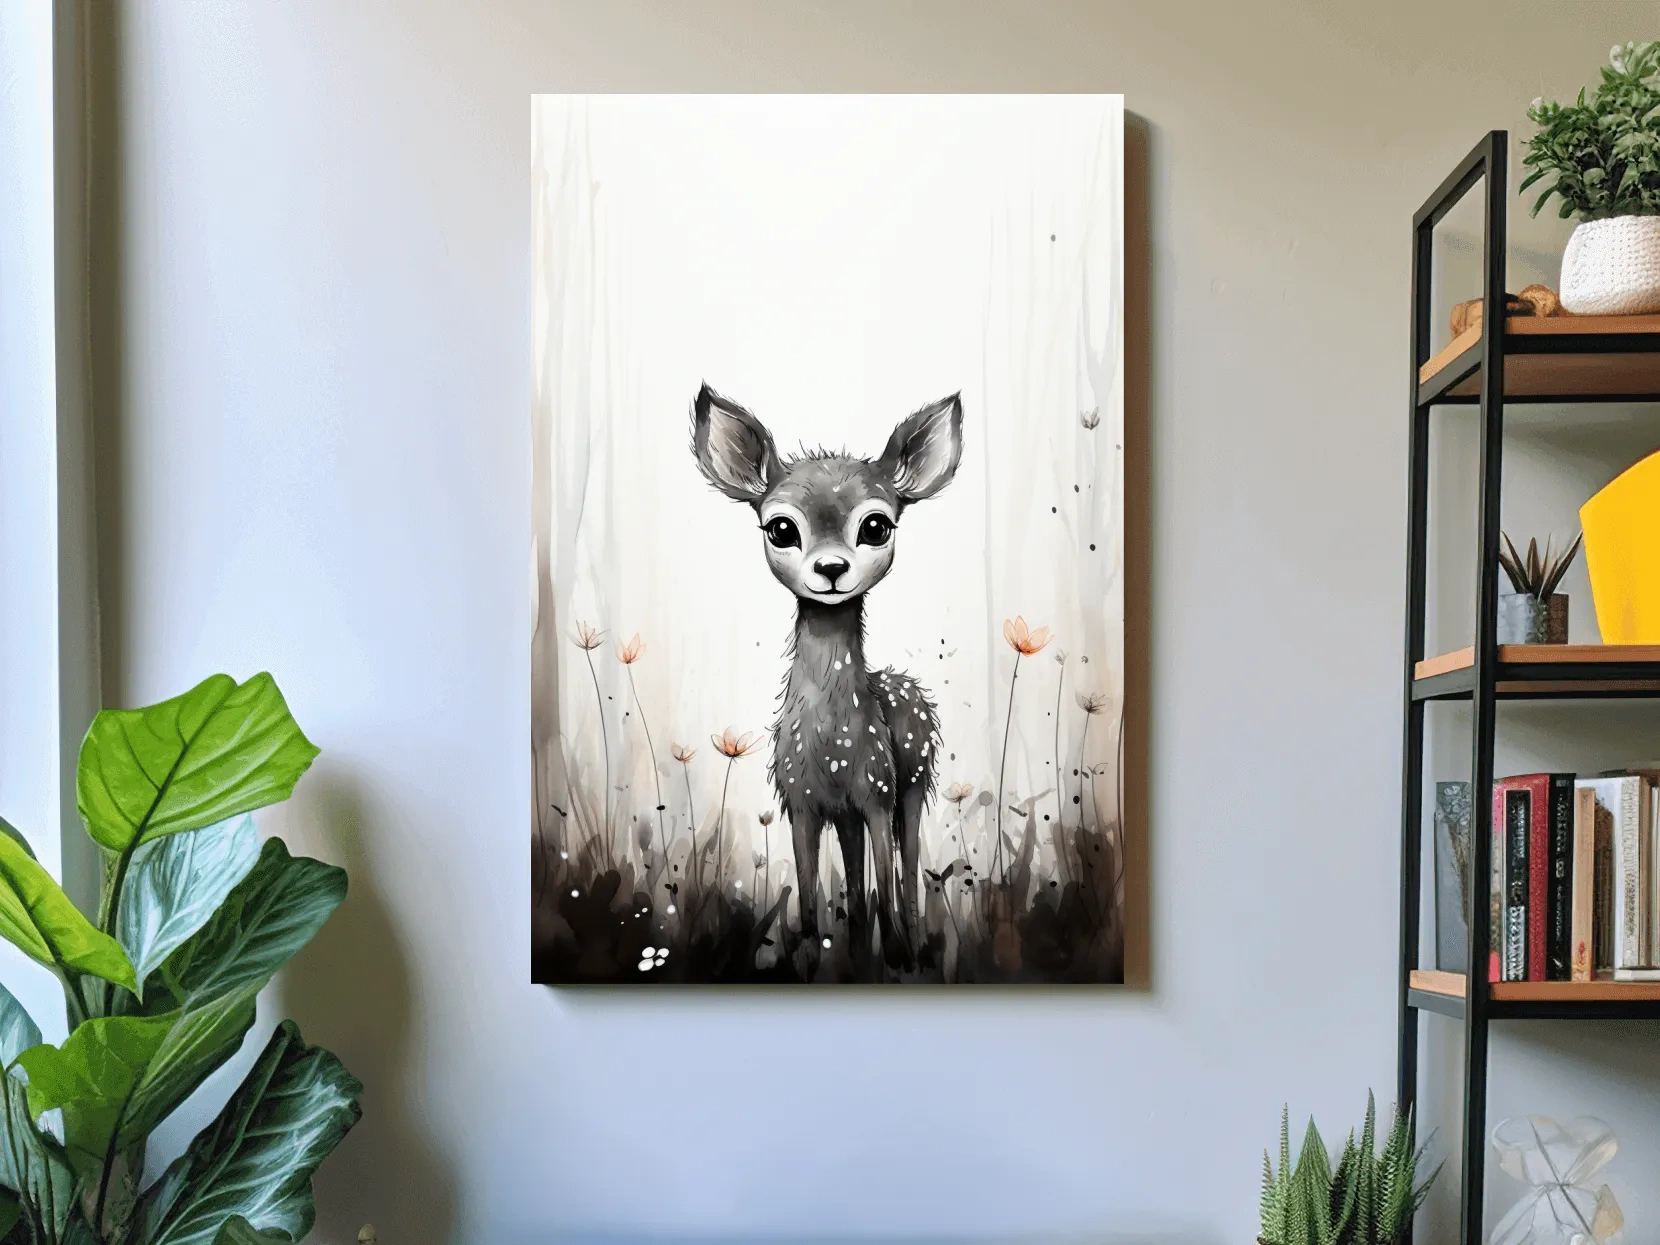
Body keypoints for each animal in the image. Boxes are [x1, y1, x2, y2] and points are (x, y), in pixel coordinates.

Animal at [691, 382, 963, 968]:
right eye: (781, 527)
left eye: (877, 525)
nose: (832, 569)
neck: (833, 745)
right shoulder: (801, 802)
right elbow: (813, 903)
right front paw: (811, 957)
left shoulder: (878, 791)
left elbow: (887, 882)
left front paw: (898, 956)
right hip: (849, 813)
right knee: (857, 883)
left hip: (912, 782)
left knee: (906, 871)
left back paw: (908, 947)